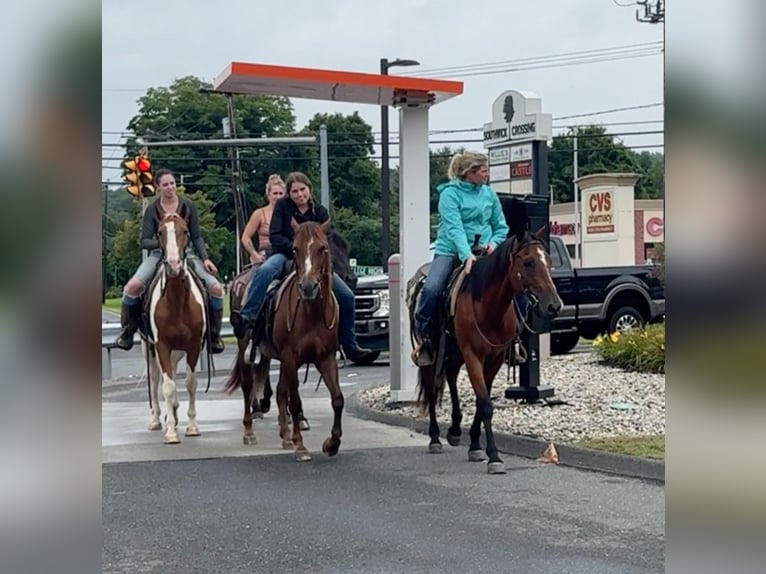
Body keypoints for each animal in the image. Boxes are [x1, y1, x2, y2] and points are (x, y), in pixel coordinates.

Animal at [146, 205, 207, 448]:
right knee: (156, 381)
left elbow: (190, 383)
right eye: (160, 232)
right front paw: (171, 432)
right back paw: (156, 419)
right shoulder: (161, 345)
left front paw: (192, 427)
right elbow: (168, 386)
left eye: (185, 231)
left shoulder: (193, 346)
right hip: (150, 350)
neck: (177, 301)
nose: (173, 266)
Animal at [222, 220, 342, 464]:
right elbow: (294, 402)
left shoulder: (326, 358)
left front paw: (331, 444)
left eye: (323, 248)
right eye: (295, 249)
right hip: (245, 346)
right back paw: (249, 432)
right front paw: (301, 446)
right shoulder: (290, 357)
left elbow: (337, 399)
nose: (308, 287)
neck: (311, 312)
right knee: (248, 386)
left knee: (279, 391)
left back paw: (285, 436)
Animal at [412, 227, 568, 474]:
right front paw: (494, 457)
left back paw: (455, 429)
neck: (487, 306)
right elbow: (485, 404)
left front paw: (475, 445)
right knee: (431, 388)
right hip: (433, 354)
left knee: (451, 376)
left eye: (549, 260)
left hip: (455, 353)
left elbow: (481, 400)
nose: (554, 305)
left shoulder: (494, 358)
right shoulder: (473, 355)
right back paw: (435, 438)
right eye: (528, 262)